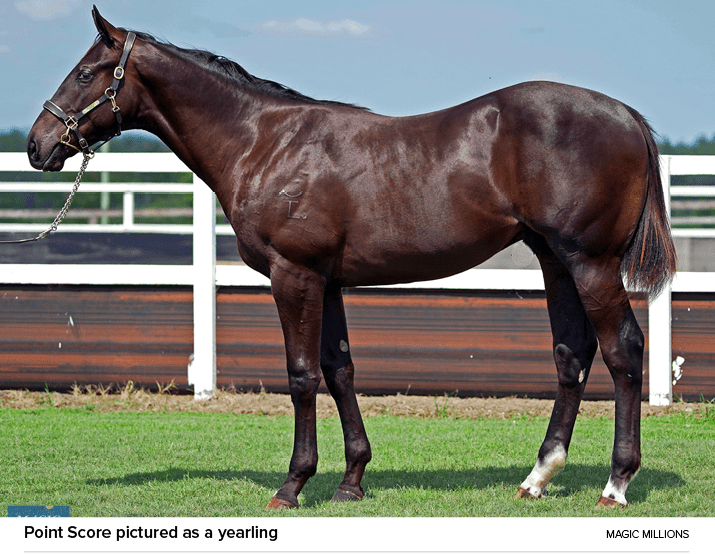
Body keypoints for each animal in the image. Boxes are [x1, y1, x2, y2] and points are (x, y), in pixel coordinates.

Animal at [28, 7, 676, 508]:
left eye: (84, 73)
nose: (38, 145)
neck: (263, 142)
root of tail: (627, 117)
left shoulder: (294, 275)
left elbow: (301, 376)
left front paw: (292, 485)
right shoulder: (328, 280)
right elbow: (339, 370)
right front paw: (352, 480)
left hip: (590, 263)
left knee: (623, 351)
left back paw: (616, 484)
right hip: (555, 261)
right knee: (573, 355)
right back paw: (537, 477)